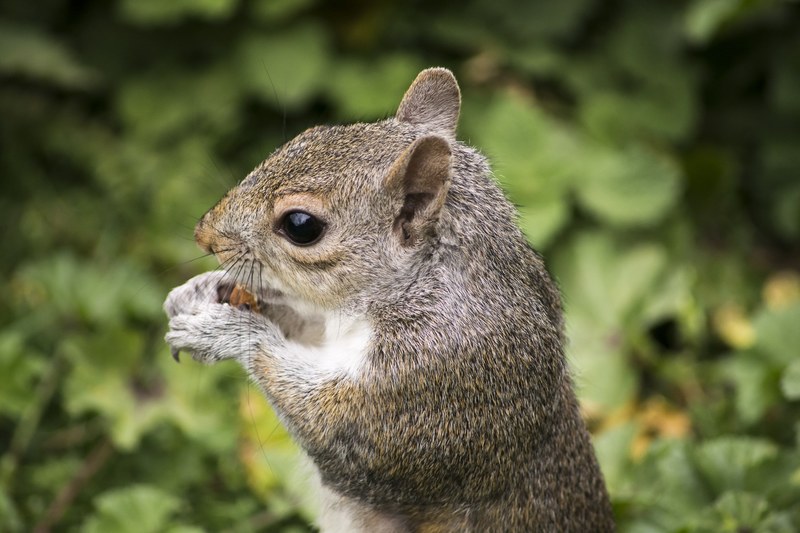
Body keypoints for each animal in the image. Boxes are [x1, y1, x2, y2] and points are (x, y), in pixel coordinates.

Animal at [164, 68, 615, 532]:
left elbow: (329, 428)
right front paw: (202, 290)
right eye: (309, 135)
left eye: (301, 225)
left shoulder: (428, 385)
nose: (204, 236)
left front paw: (226, 331)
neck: (412, 290)